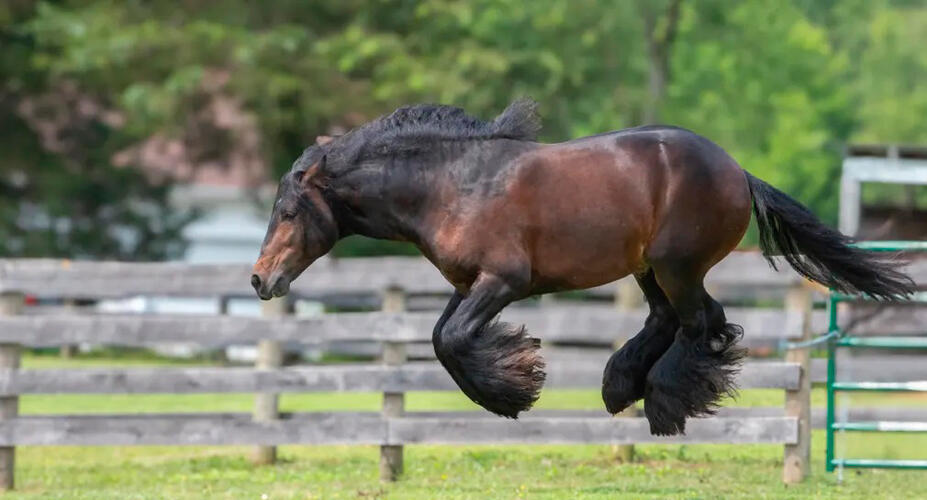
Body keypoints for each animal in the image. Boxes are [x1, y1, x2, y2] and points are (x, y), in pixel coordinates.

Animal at [250, 99, 916, 436]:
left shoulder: (503, 281)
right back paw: (622, 386)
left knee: (702, 324)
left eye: (288, 210)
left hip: (677, 264)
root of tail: (738, 171)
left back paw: (664, 403)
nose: (260, 279)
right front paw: (513, 381)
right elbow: (442, 339)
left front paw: (514, 390)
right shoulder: (467, 284)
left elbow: (455, 341)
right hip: (650, 269)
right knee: (677, 322)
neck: (451, 185)